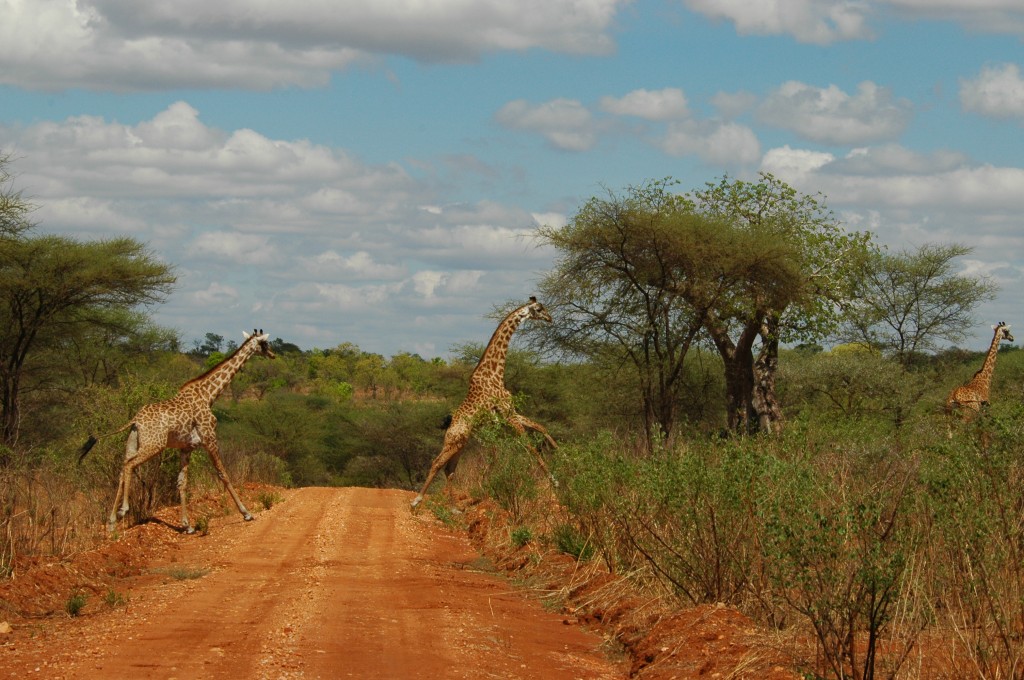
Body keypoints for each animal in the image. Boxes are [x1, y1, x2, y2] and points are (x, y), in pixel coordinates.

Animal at [81, 329, 276, 532]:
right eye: (265, 344)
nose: (273, 354)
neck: (208, 395)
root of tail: (135, 420)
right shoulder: (209, 438)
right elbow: (223, 474)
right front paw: (246, 513)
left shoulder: (187, 447)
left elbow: (182, 482)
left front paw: (186, 525)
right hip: (154, 445)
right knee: (129, 465)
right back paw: (123, 510)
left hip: (133, 443)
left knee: (122, 469)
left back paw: (111, 522)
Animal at [409, 296, 561, 510]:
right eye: (539, 309)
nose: (550, 318)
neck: (496, 372)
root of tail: (449, 427)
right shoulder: (507, 413)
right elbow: (529, 445)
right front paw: (554, 481)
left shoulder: (509, 411)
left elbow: (541, 427)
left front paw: (566, 457)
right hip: (454, 441)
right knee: (437, 463)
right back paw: (417, 501)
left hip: (461, 445)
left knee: (449, 469)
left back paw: (455, 508)